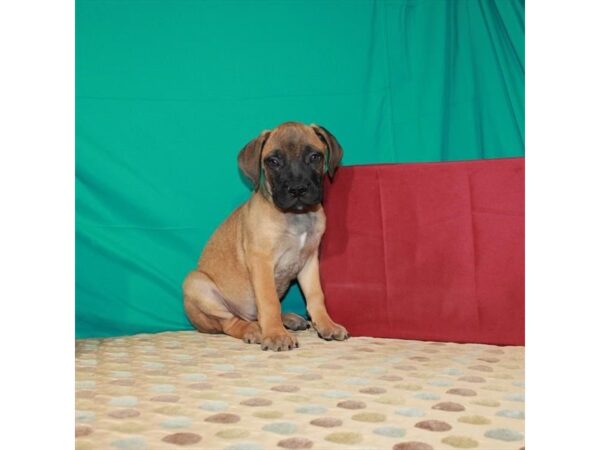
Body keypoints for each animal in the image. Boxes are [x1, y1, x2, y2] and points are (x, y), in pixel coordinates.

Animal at [185, 121, 350, 350]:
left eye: (315, 156)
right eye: (273, 161)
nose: (297, 189)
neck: (296, 216)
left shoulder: (309, 261)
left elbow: (316, 295)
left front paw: (326, 324)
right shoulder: (261, 261)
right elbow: (269, 301)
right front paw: (275, 334)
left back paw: (288, 319)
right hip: (196, 284)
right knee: (230, 323)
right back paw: (254, 330)